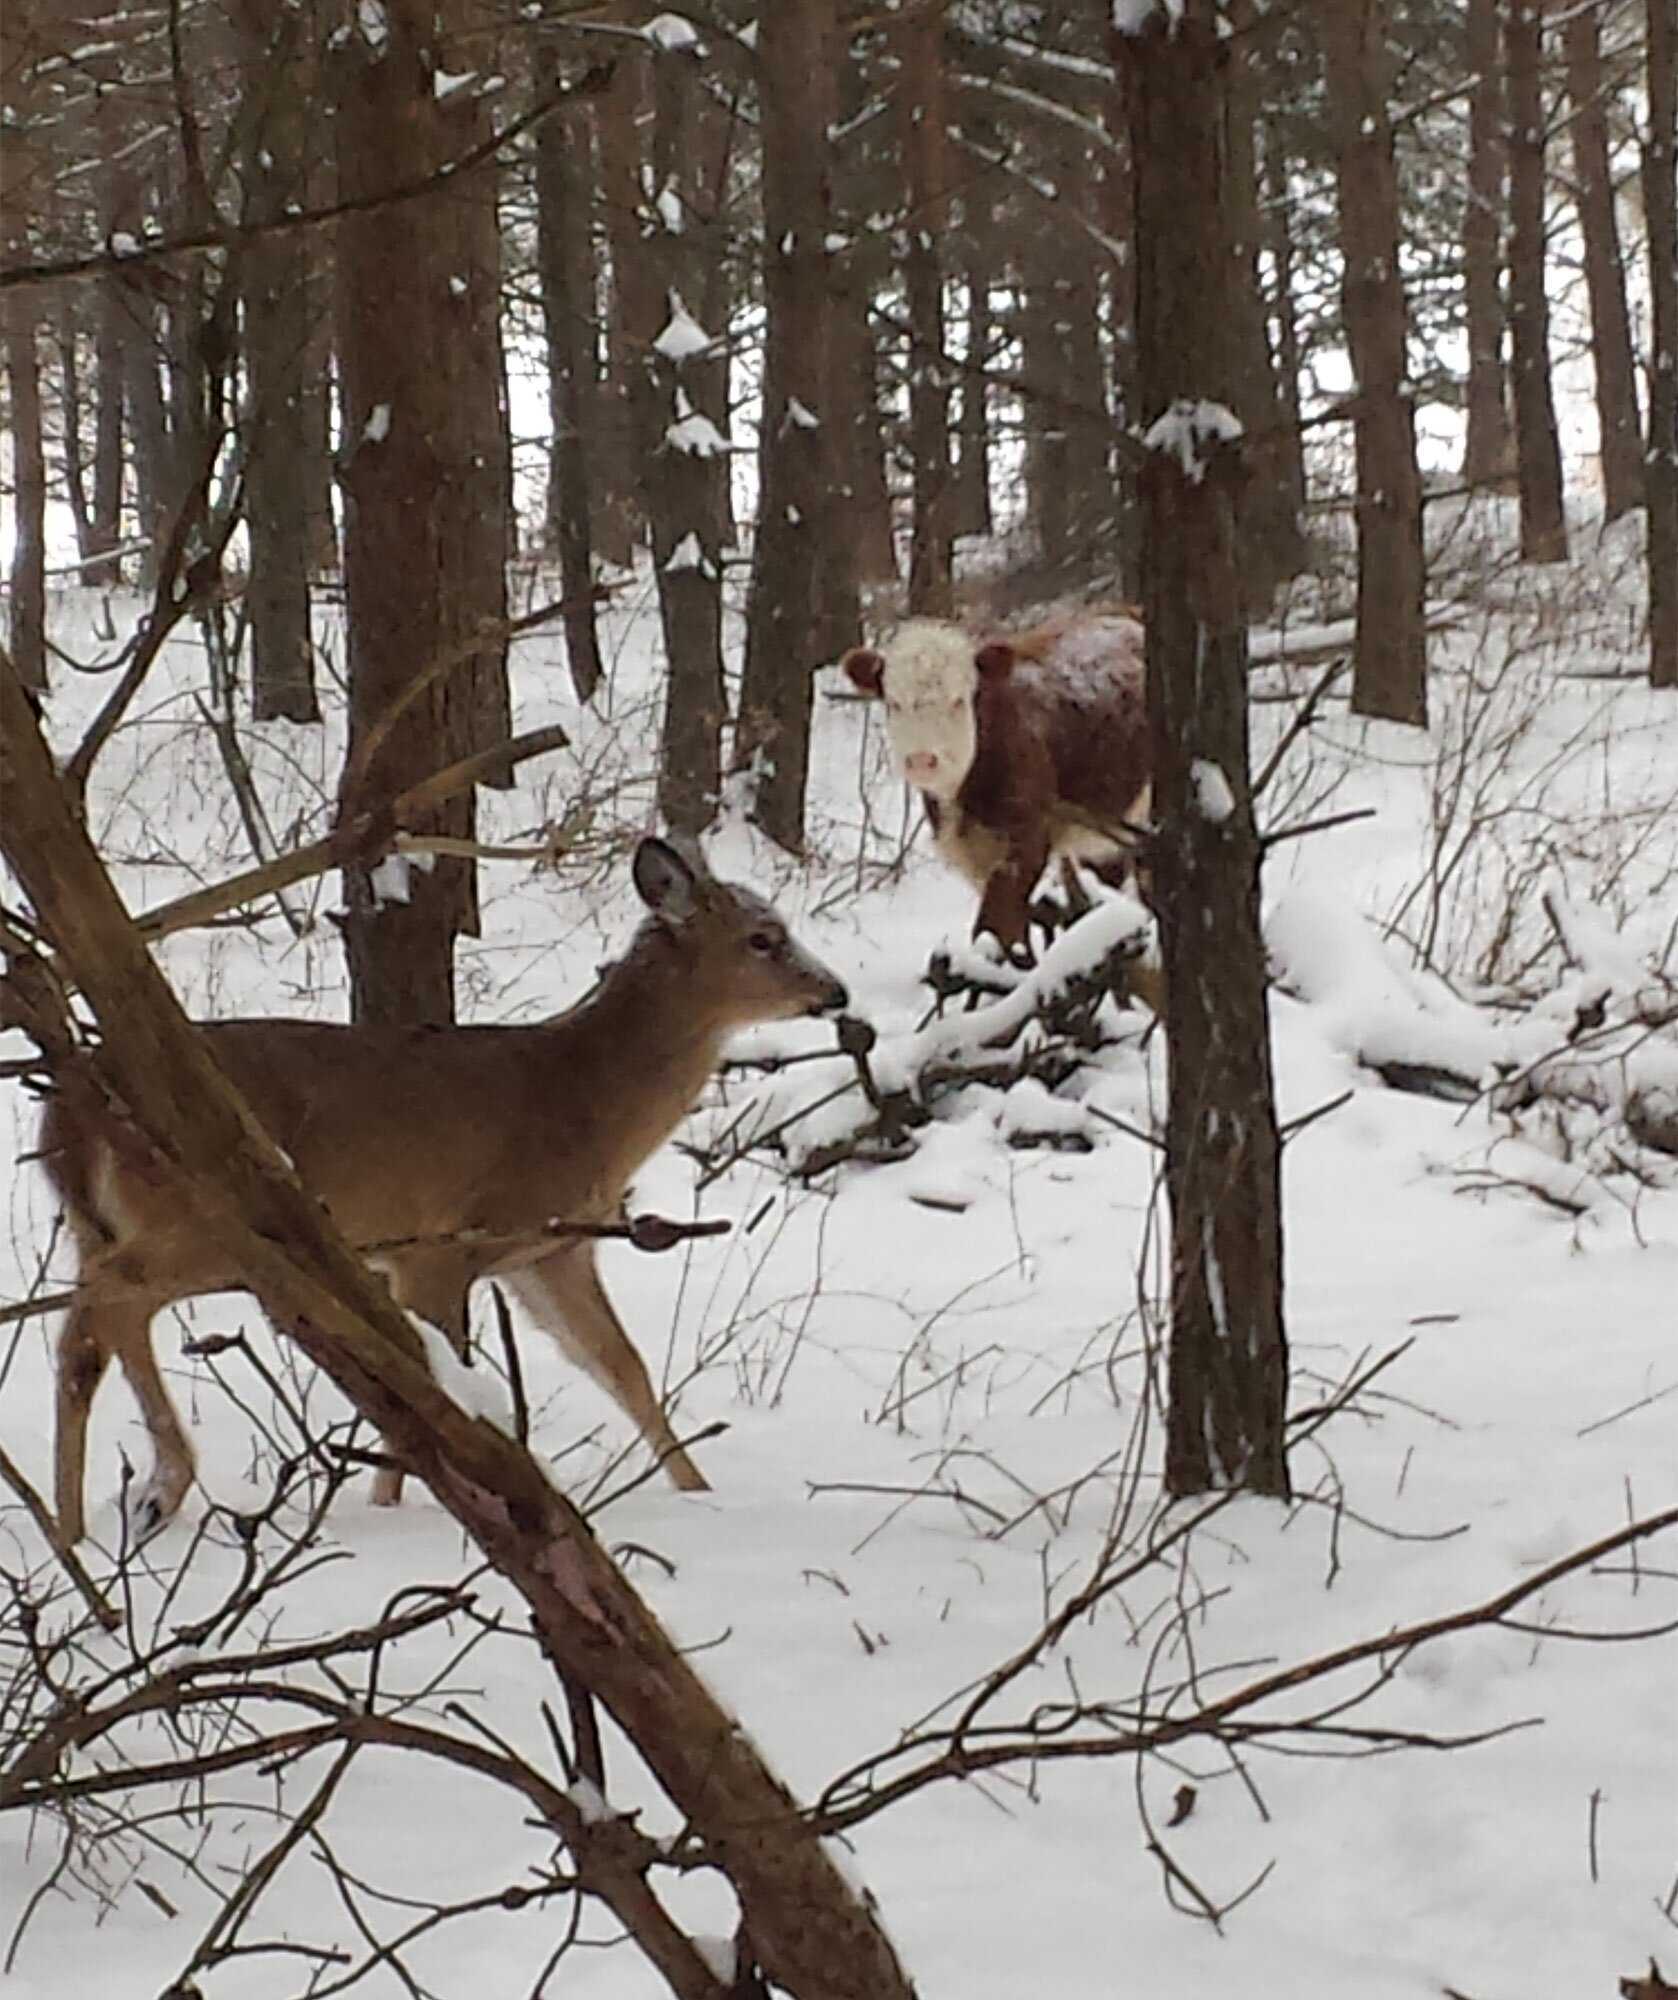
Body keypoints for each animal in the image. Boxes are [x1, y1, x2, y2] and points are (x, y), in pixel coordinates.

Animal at [42, 836, 852, 1536]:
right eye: (763, 938)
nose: (836, 990)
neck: (582, 1097)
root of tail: (68, 1118)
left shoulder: (548, 1253)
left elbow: (621, 1366)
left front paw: (698, 1493)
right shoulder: (442, 1242)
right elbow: (438, 1382)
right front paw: (405, 1505)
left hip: (109, 1225)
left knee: (97, 1329)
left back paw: (114, 1510)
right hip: (201, 1220)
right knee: (101, 1311)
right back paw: (117, 1506)